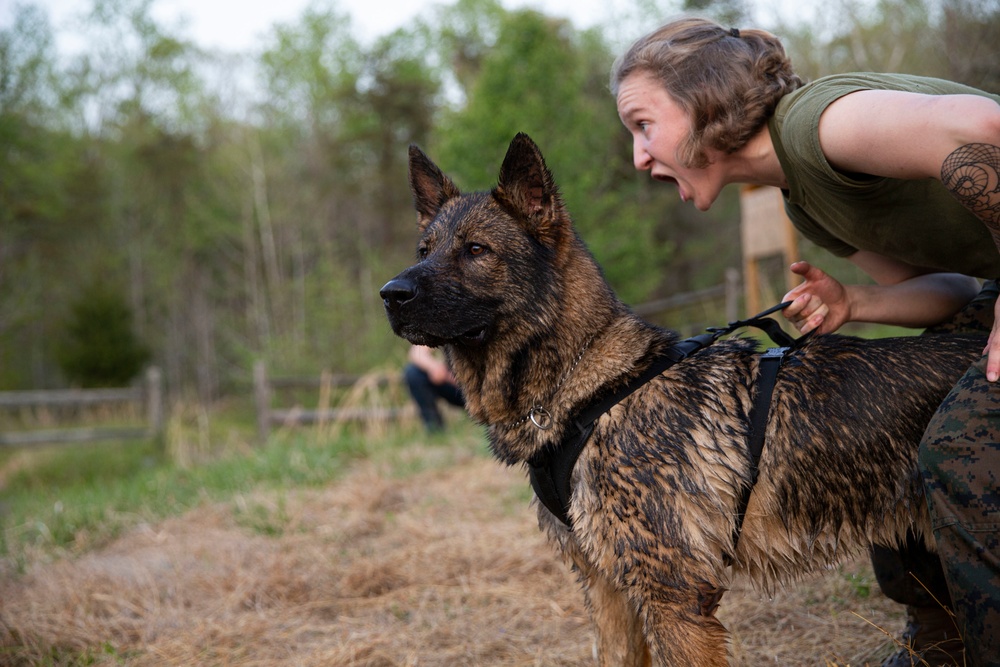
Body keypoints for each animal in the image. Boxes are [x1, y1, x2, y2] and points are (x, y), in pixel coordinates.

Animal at [380, 133, 984, 664]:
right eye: (424, 250)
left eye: (475, 250)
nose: (391, 294)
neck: (591, 390)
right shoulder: (607, 592)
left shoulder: (676, 600)